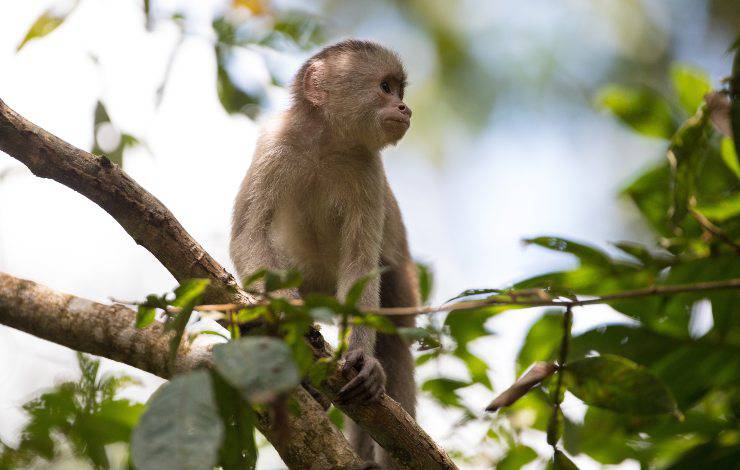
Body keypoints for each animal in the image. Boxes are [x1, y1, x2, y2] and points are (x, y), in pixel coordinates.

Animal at [229, 39, 419, 469]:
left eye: (399, 91)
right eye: (386, 87)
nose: (405, 108)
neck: (327, 143)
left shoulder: (368, 169)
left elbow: (361, 267)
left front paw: (363, 360)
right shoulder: (277, 143)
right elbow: (249, 236)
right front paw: (286, 312)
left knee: (394, 334)